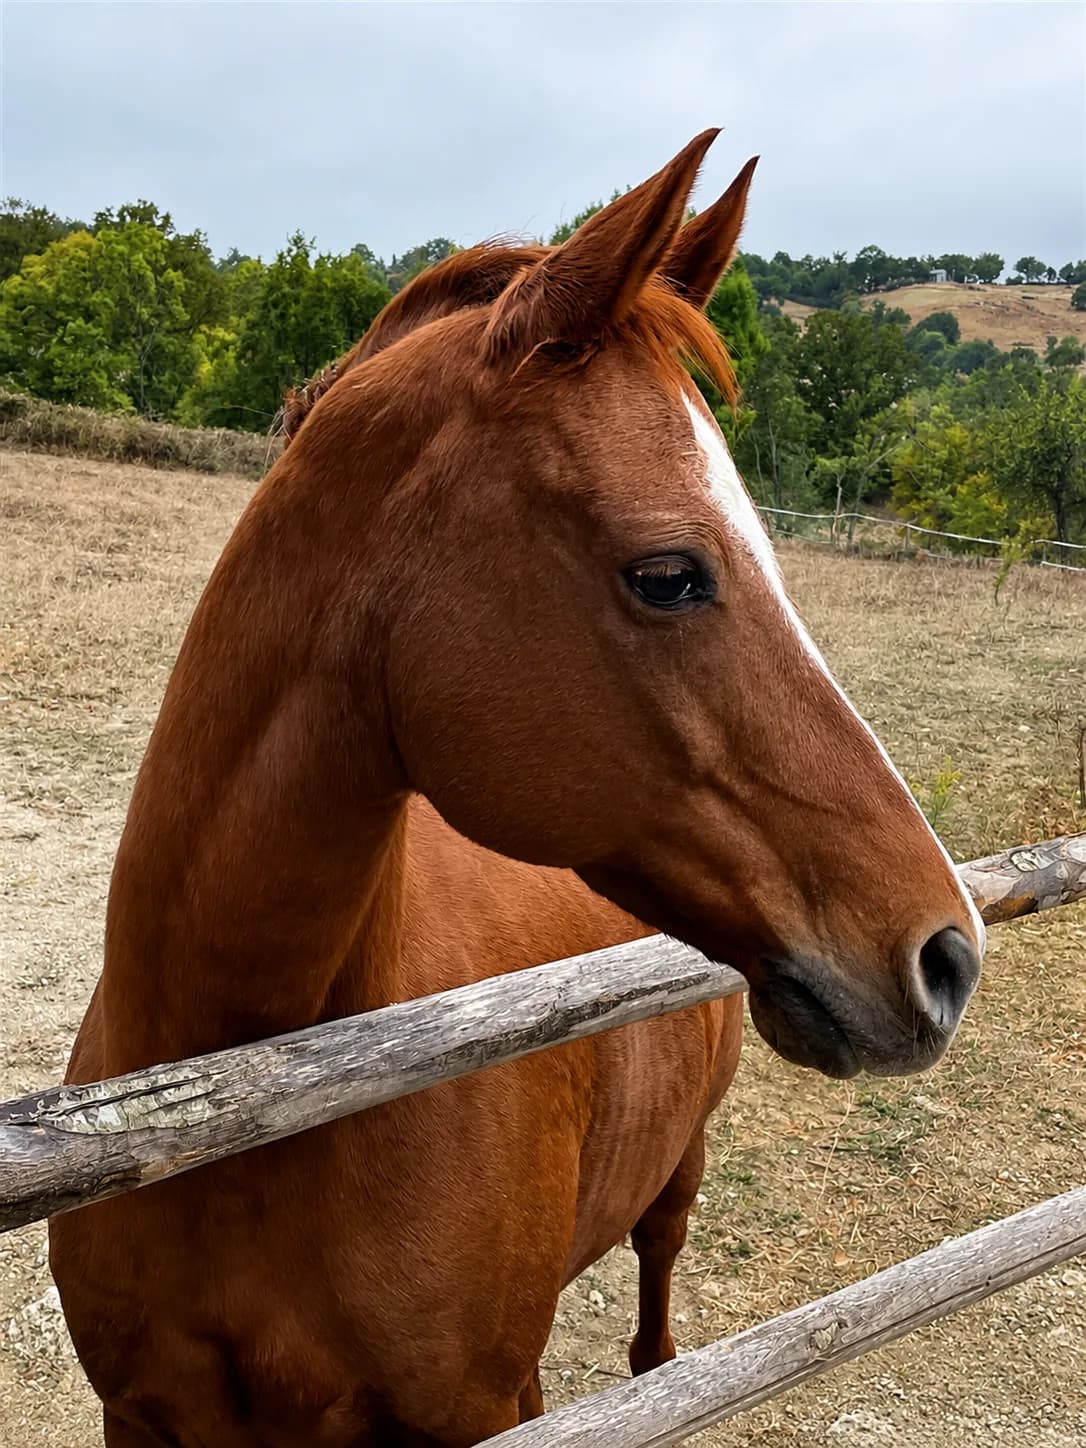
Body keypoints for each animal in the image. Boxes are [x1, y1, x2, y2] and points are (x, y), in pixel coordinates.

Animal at [49, 130, 984, 1447]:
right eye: (668, 572)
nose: (948, 953)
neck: (241, 1114)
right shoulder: (136, 1416)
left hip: (679, 1173)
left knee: (656, 1299)